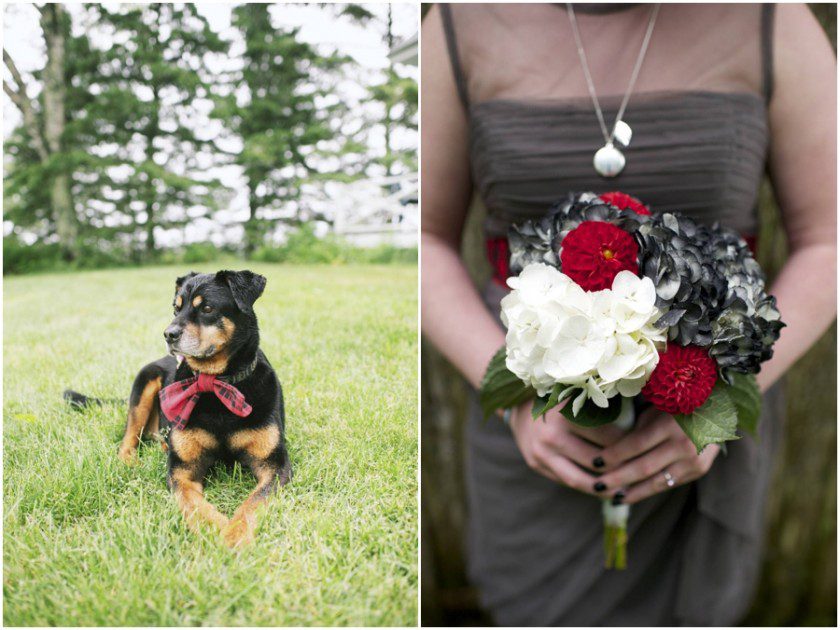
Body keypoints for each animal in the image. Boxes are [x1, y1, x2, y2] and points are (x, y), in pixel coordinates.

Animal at [65, 270, 292, 548]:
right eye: (176, 308)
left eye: (207, 308)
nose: (168, 334)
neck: (215, 383)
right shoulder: (182, 469)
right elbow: (192, 502)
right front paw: (214, 529)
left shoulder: (274, 464)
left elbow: (255, 501)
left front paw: (234, 534)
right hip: (145, 381)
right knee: (129, 436)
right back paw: (129, 460)